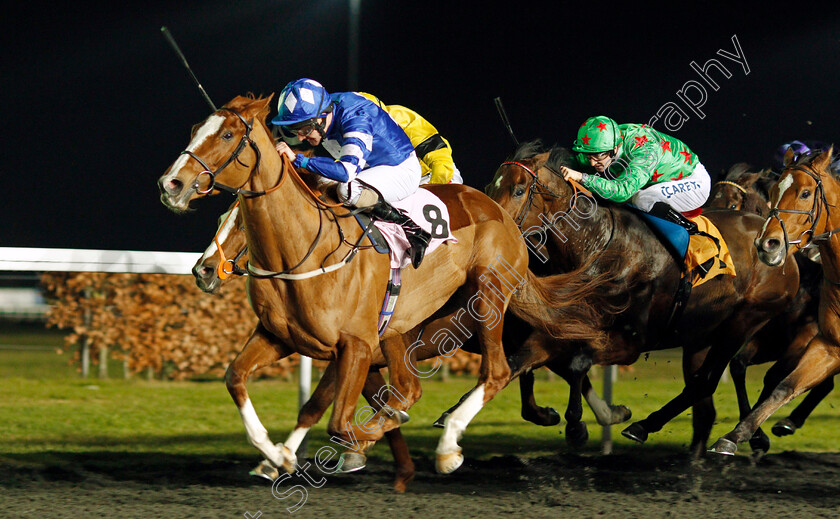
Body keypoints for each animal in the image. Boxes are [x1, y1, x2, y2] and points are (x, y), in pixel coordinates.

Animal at [161, 95, 612, 478]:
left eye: (226, 135)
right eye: (195, 128)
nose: (171, 184)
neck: (307, 248)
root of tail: (500, 211)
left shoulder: (357, 345)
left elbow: (341, 420)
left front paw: (357, 446)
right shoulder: (287, 338)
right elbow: (245, 381)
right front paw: (278, 456)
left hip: (489, 295)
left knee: (501, 370)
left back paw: (452, 445)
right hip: (405, 330)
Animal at [486, 140, 800, 458]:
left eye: (518, 190)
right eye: (489, 186)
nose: (494, 233)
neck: (599, 244)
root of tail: (780, 244)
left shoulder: (631, 342)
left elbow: (577, 364)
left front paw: (578, 424)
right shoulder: (562, 328)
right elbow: (521, 362)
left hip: (744, 321)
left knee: (707, 382)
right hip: (700, 335)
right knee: (703, 400)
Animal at [712, 146, 840, 456]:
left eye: (805, 193)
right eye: (773, 192)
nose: (766, 244)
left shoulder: (805, 335)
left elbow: (773, 376)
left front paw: (757, 435)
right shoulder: (773, 334)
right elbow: (744, 367)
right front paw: (748, 434)